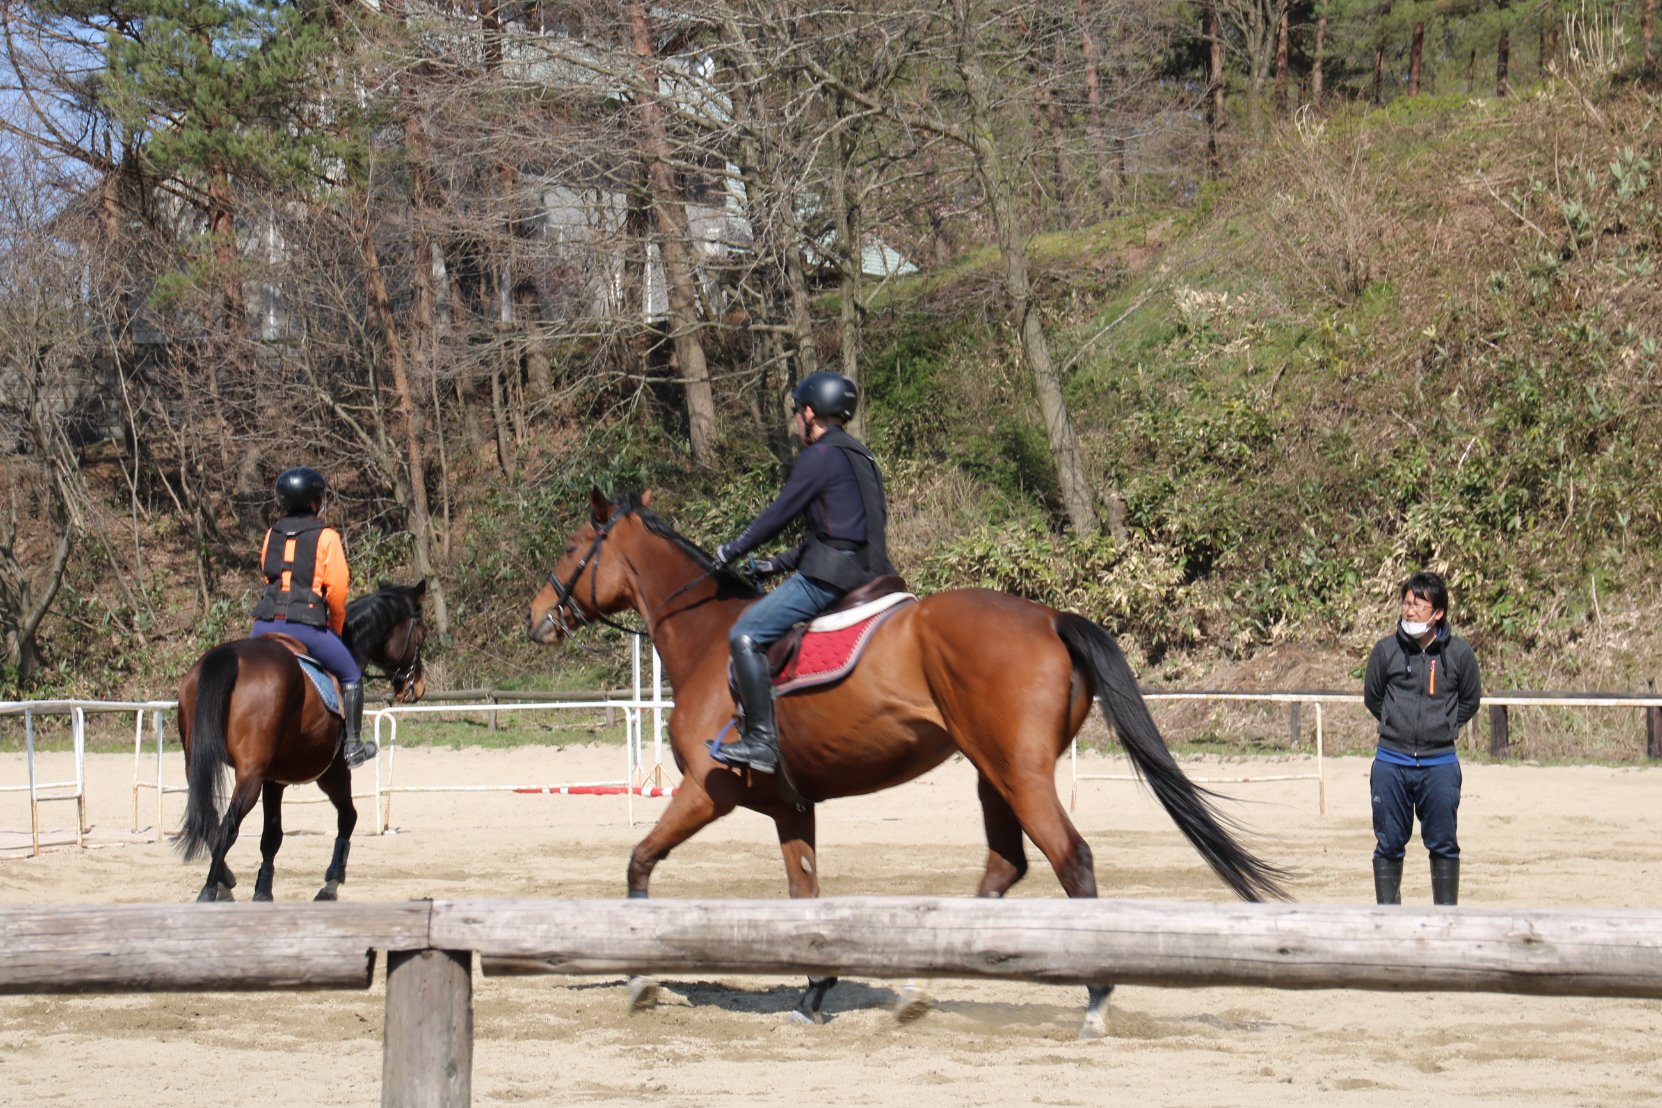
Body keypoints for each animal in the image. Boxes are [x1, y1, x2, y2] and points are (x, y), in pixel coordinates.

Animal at [177, 584, 428, 903]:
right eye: (421, 634)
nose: (416, 686)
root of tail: (229, 656)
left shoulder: (274, 779)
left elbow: (271, 837)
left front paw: (263, 891)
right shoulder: (333, 772)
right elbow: (348, 817)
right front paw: (331, 882)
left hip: (197, 764)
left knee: (207, 819)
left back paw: (225, 879)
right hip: (251, 776)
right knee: (226, 828)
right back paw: (211, 889)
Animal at [531, 488, 1283, 1036]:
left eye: (570, 547)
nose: (538, 617)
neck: (710, 637)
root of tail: (1047, 616)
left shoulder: (708, 790)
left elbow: (639, 859)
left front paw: (640, 976)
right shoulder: (789, 806)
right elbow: (804, 895)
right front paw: (814, 993)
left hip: (1018, 774)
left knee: (1071, 860)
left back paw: (1094, 1000)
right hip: (992, 774)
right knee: (1005, 867)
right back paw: (922, 990)